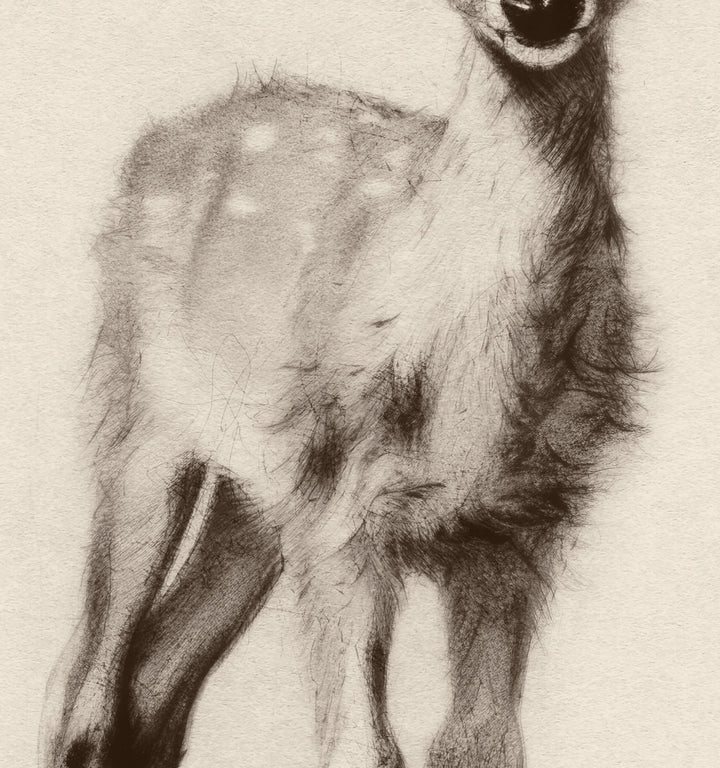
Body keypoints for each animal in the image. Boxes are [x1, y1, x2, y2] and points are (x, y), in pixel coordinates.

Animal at [42, 0, 639, 766]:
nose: (539, 11)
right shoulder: (344, 508)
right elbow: (364, 746)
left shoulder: (520, 524)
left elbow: (481, 741)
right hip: (137, 402)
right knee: (85, 678)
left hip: (261, 489)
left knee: (156, 669)